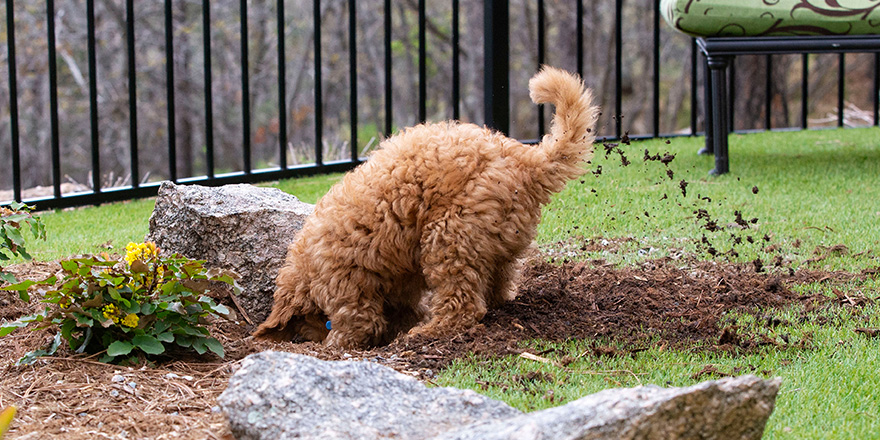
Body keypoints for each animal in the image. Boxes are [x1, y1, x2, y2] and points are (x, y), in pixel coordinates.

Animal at [254, 66, 600, 348]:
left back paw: (427, 333)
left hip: (449, 236)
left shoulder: (345, 283)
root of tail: (525, 160)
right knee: (497, 289)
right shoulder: (398, 284)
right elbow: (400, 310)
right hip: (494, 245)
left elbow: (356, 321)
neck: (308, 263)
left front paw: (337, 346)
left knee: (463, 306)